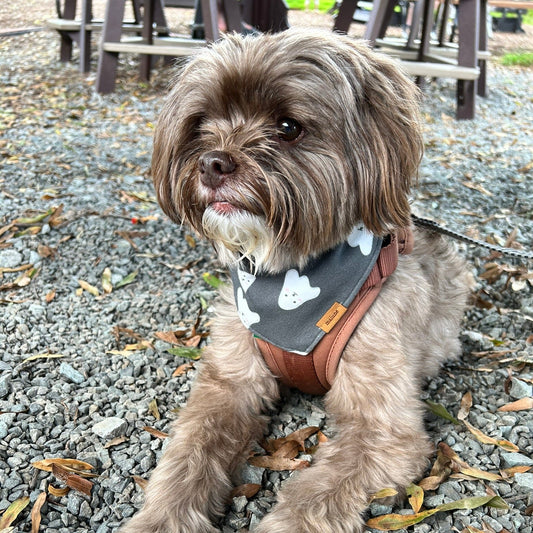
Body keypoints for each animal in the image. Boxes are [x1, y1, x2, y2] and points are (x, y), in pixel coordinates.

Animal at [119, 29, 466, 532]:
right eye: (201, 123)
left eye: (288, 127)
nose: (212, 163)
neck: (289, 278)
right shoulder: (230, 383)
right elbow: (191, 450)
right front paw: (162, 517)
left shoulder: (384, 432)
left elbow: (314, 496)